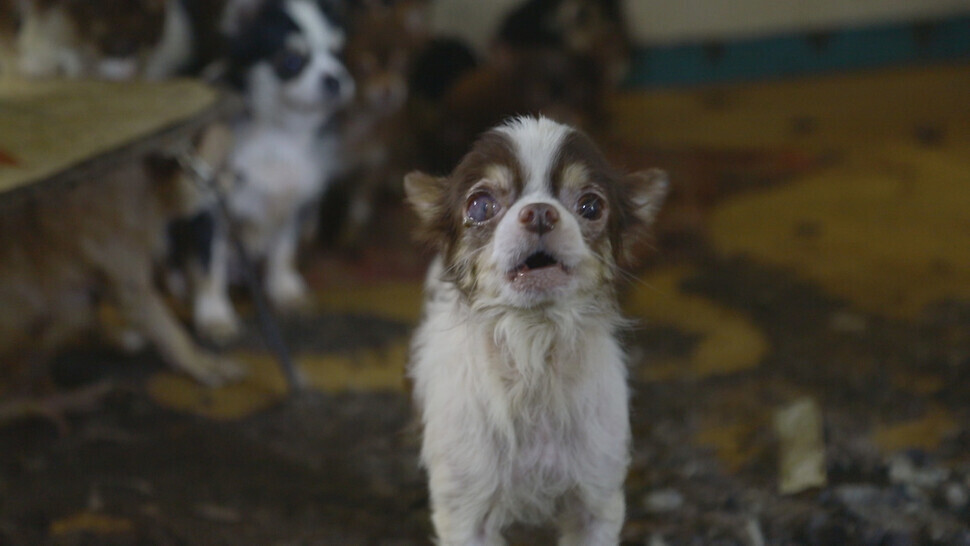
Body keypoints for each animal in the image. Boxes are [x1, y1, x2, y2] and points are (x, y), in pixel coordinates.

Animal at [187, 0, 354, 340]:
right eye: (291, 61)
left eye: (338, 54)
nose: (334, 78)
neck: (281, 132)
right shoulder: (211, 209)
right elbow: (210, 266)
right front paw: (214, 315)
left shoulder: (296, 202)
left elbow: (284, 251)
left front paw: (286, 292)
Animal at [400, 116, 664, 544]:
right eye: (481, 205)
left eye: (591, 206)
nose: (540, 212)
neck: (533, 350)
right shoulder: (466, 514)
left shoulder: (595, 503)